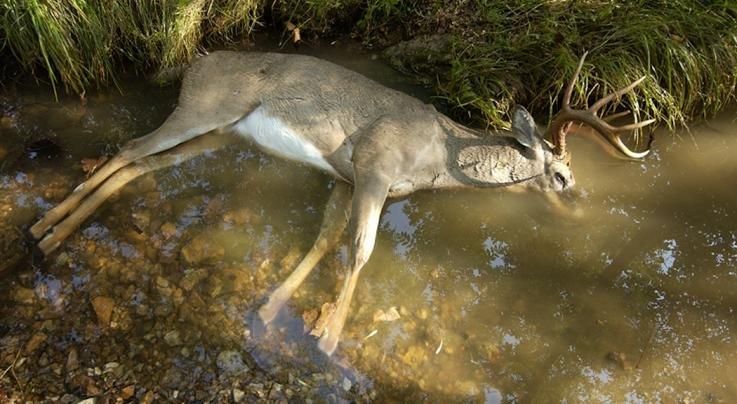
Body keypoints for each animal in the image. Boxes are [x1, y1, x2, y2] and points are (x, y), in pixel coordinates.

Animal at [29, 51, 654, 355]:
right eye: (563, 175)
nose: (579, 208)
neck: (437, 156)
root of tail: (193, 63)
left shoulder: (344, 178)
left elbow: (325, 236)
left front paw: (271, 309)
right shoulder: (374, 168)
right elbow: (360, 250)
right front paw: (328, 339)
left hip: (224, 133)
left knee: (140, 164)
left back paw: (46, 234)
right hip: (204, 108)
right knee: (130, 147)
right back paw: (46, 230)